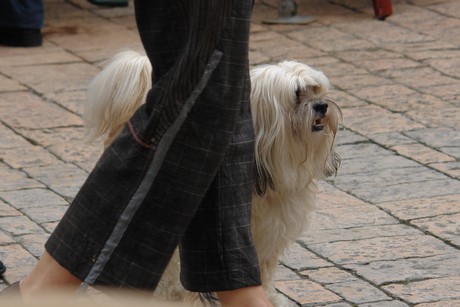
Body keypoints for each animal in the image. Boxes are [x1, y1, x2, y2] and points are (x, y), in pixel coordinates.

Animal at [82, 50, 342, 306]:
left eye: (316, 89)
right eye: (297, 94)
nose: (321, 105)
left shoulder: (269, 230)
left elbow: (262, 266)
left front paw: (267, 296)